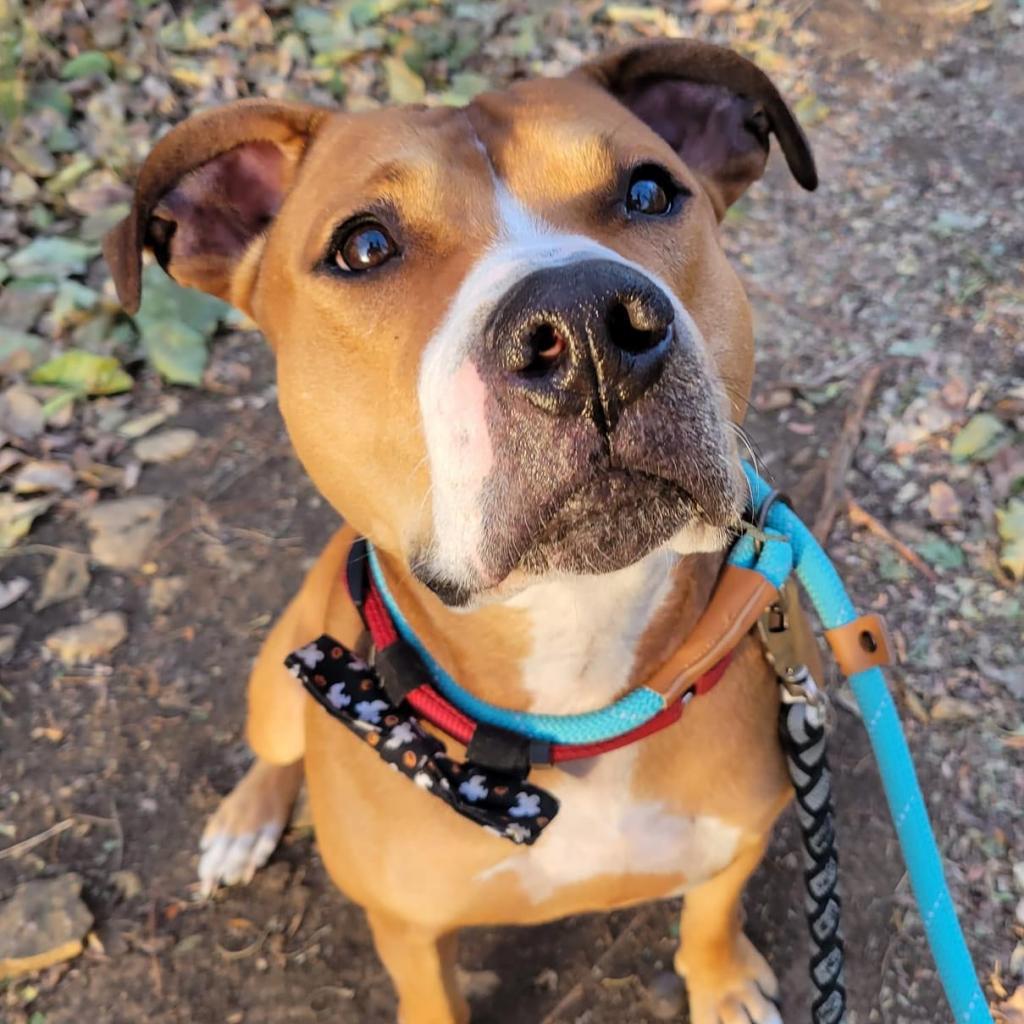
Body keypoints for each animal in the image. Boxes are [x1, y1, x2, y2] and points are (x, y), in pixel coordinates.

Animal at [103, 36, 819, 1019]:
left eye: (648, 192)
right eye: (363, 246)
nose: (585, 325)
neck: (575, 686)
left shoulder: (743, 832)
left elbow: (712, 910)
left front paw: (722, 984)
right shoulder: (407, 930)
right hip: (282, 669)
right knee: (274, 742)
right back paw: (245, 820)